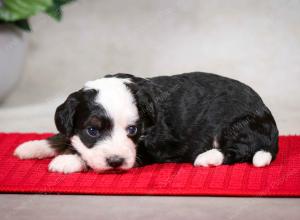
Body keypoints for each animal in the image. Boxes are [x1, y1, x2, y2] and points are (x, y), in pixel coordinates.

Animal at [14, 72, 278, 174]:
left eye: (132, 130)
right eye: (92, 130)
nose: (116, 162)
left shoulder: (151, 147)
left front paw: (67, 160)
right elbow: (63, 136)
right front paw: (31, 146)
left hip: (237, 125)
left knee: (239, 150)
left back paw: (208, 157)